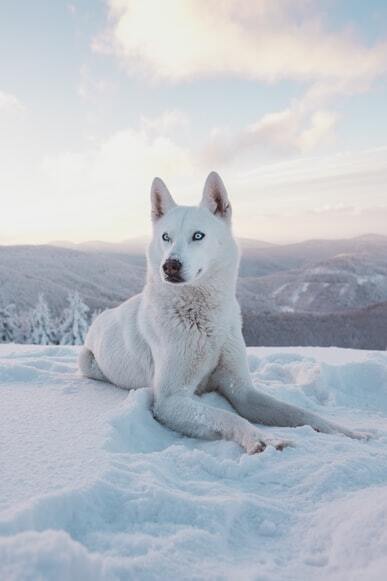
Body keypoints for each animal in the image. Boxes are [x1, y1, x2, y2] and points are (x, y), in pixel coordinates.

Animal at [79, 170, 366, 450]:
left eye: (198, 235)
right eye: (166, 237)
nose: (170, 265)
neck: (203, 319)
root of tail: (101, 317)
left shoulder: (242, 391)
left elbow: (299, 412)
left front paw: (347, 432)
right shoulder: (170, 400)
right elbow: (227, 416)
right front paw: (261, 438)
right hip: (87, 362)